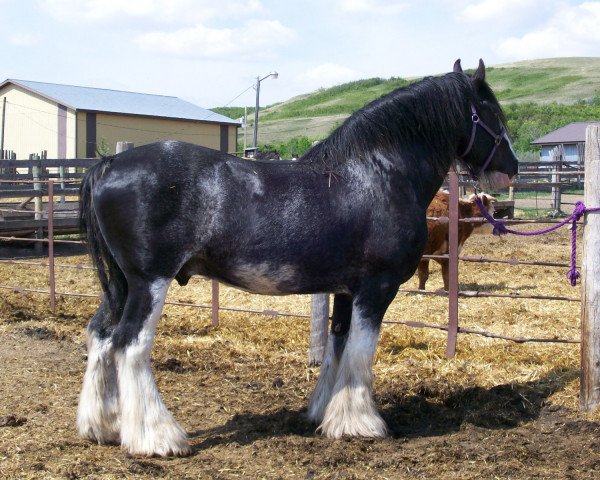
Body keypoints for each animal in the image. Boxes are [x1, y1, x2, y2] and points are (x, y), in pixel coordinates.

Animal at [77, 60, 516, 458]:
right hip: (149, 281)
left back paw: (103, 426)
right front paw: (361, 423)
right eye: (492, 114)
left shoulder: (347, 290)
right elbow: (361, 350)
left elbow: (338, 344)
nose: (511, 168)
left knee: (101, 335)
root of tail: (111, 164)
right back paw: (157, 438)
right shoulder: (377, 287)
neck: (378, 175)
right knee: (130, 344)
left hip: (121, 283)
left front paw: (326, 412)